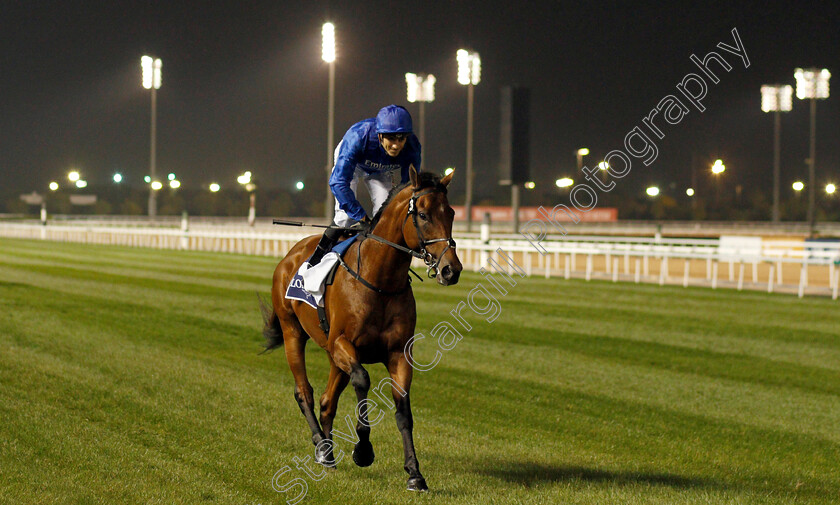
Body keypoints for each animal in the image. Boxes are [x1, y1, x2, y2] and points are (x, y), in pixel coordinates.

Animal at [260, 167, 460, 490]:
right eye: (423, 214)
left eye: (451, 212)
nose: (451, 270)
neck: (380, 282)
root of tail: (290, 255)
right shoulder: (344, 344)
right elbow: (363, 380)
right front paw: (363, 450)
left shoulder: (399, 353)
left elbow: (403, 409)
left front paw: (415, 473)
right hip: (294, 333)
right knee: (305, 392)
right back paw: (321, 446)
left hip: (331, 355)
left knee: (327, 401)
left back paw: (329, 454)